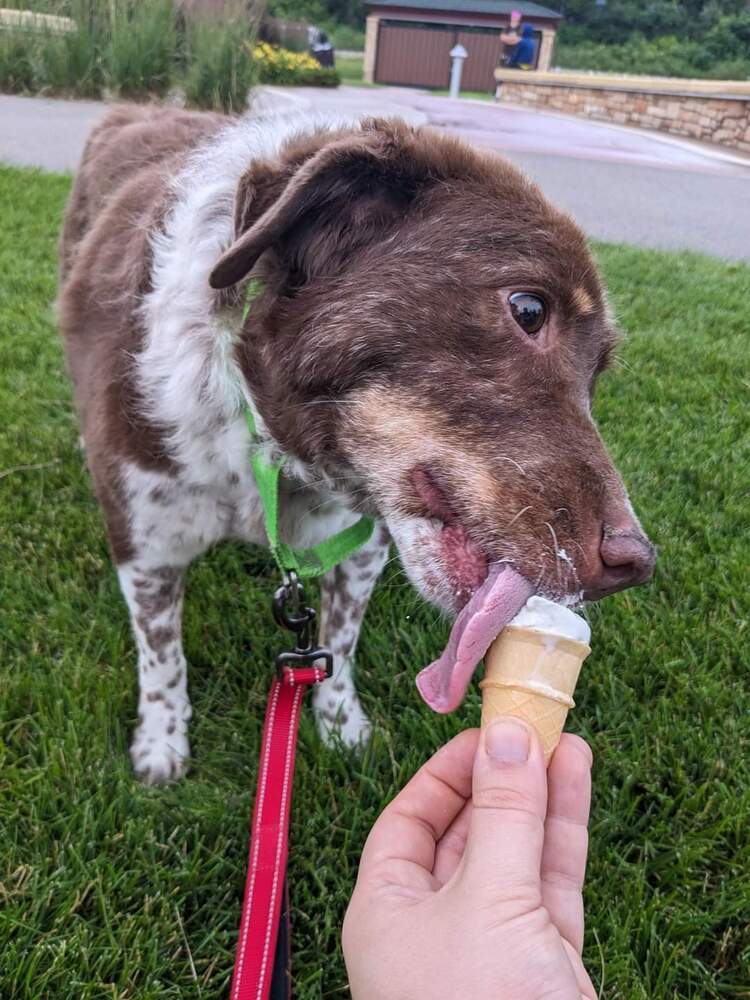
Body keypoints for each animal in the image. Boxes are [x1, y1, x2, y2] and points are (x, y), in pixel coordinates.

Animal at [58, 105, 656, 784]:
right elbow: (162, 655)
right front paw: (162, 741)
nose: (636, 564)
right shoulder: (146, 542)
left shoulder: (362, 544)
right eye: (528, 308)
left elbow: (338, 643)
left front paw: (340, 726)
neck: (265, 447)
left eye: (599, 370)